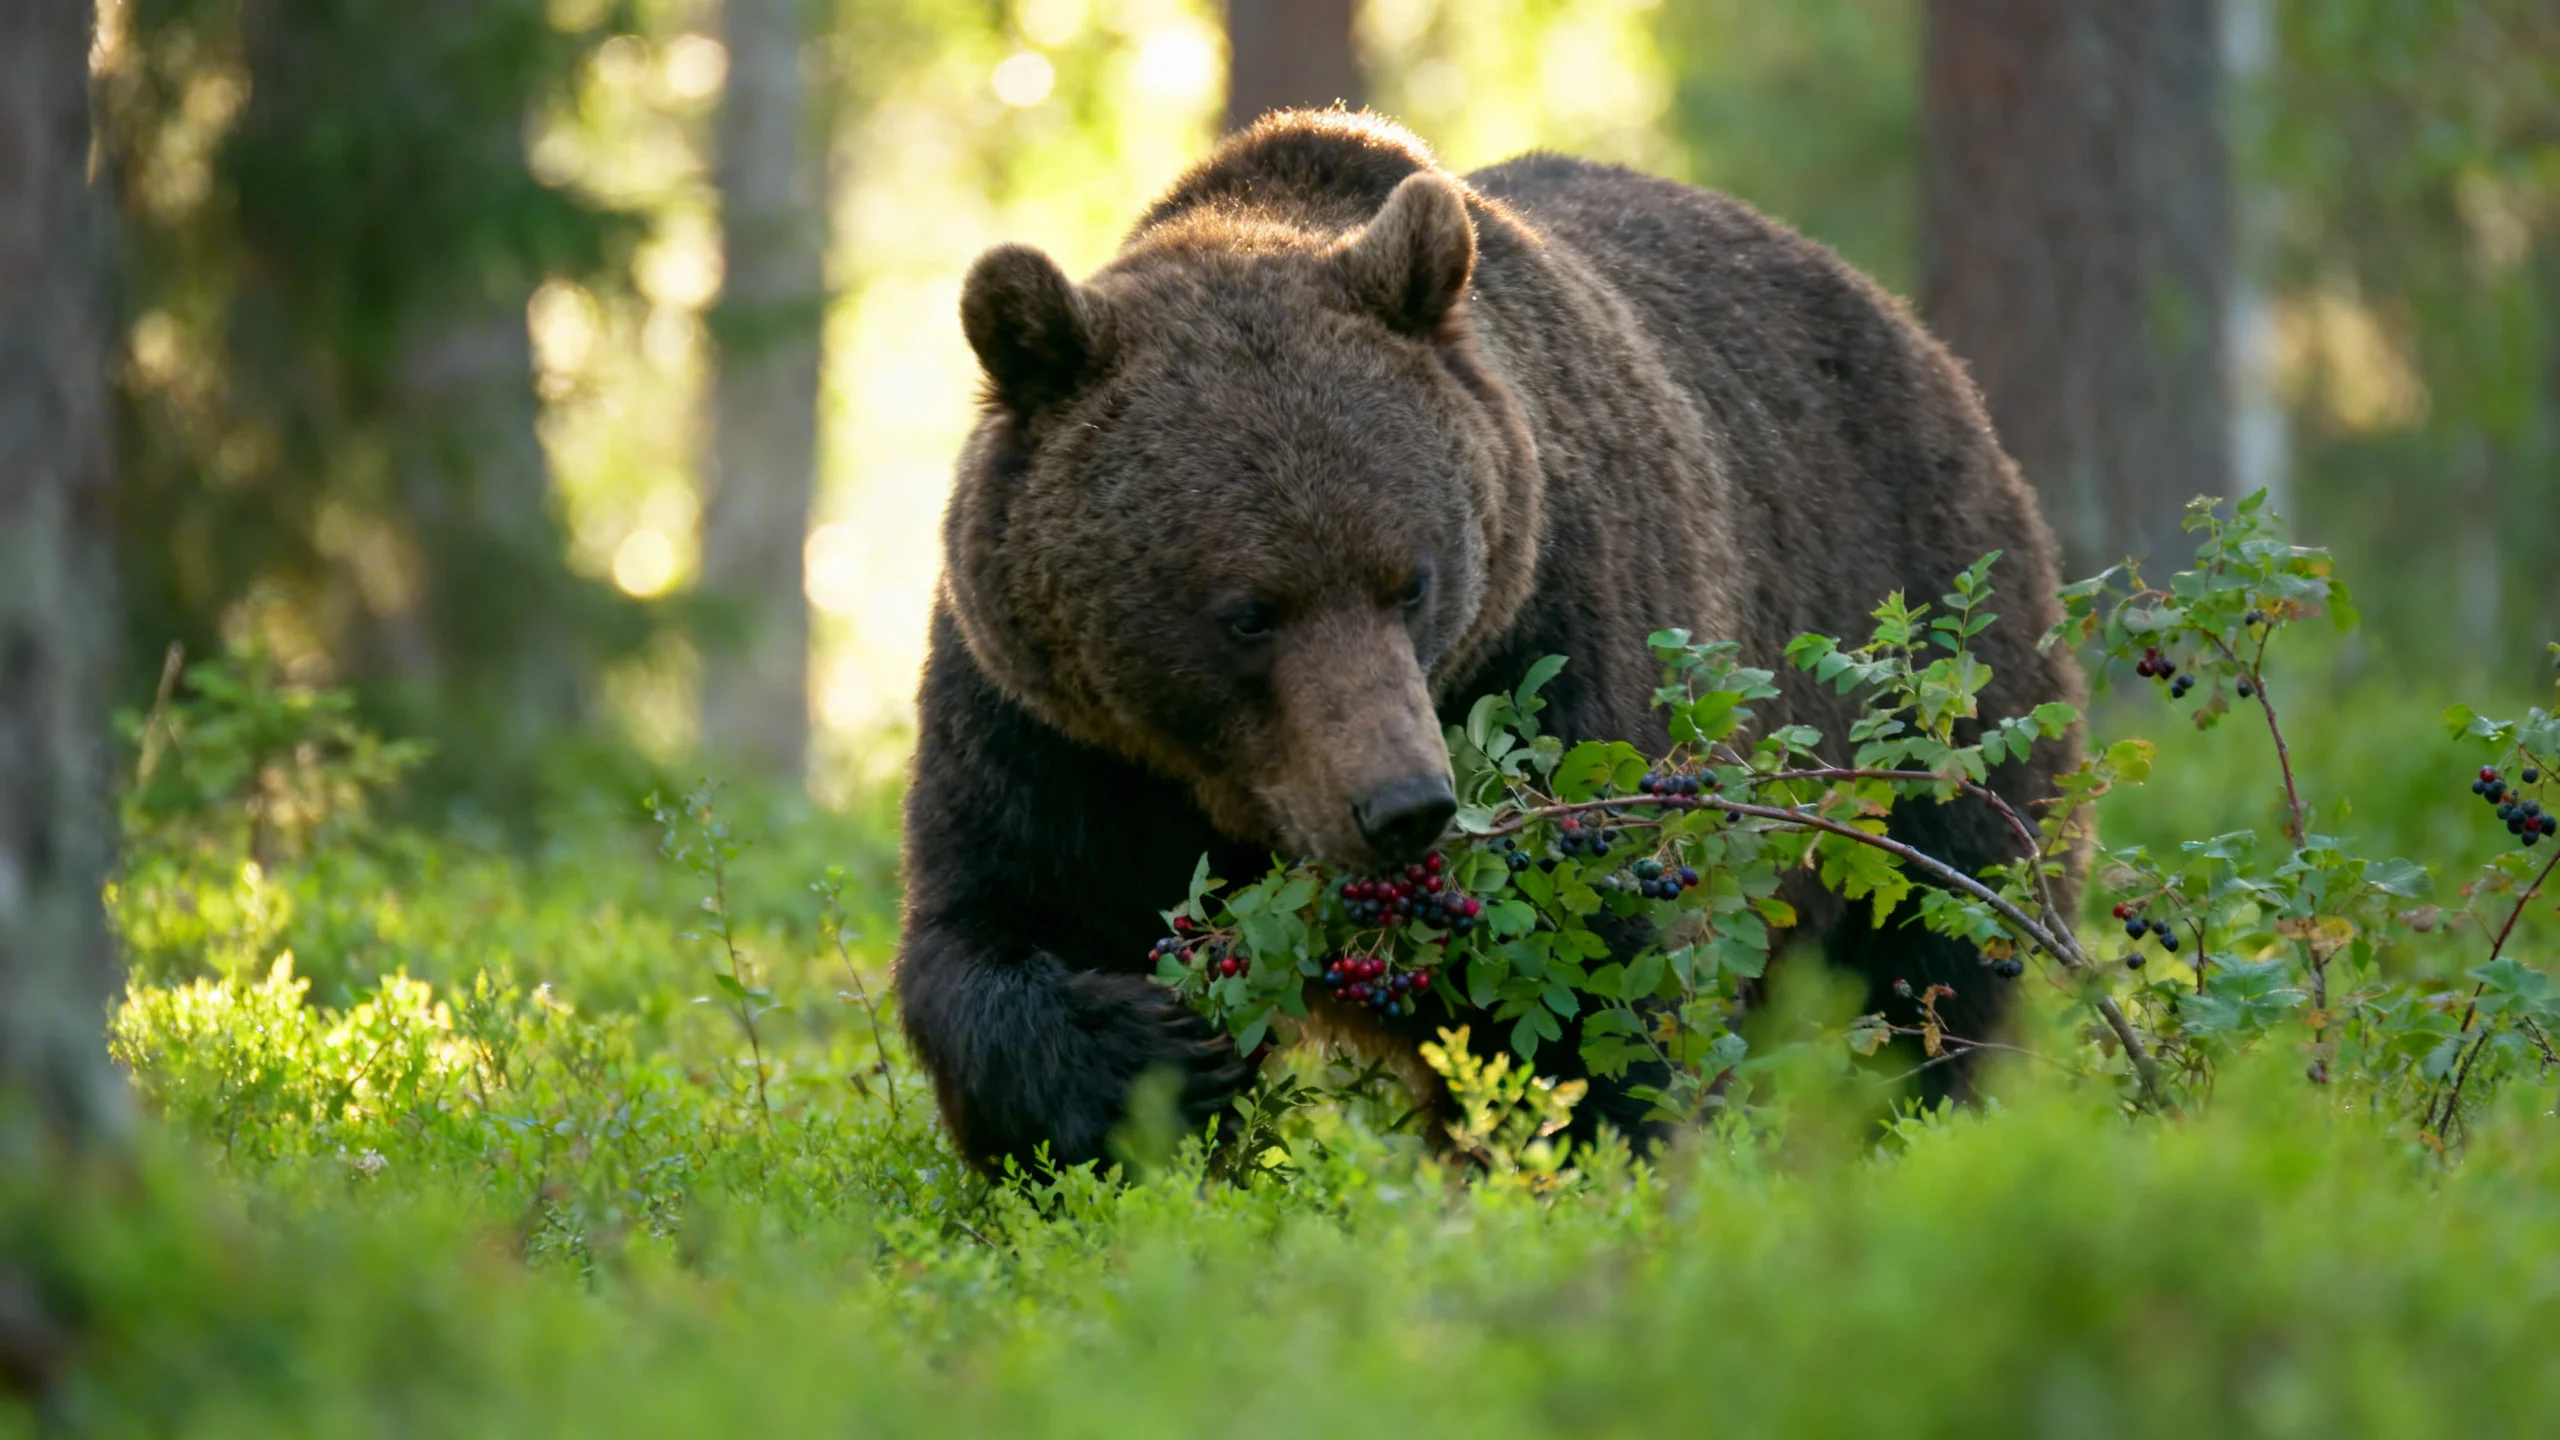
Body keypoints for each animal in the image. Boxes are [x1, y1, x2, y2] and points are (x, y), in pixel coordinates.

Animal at [896, 110, 2084, 1174]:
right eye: (1248, 611)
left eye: (1410, 582)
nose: (1404, 805)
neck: (1231, 801)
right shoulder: (1055, 736)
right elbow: (990, 925)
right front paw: (1146, 1057)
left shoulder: (1557, 646)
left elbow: (1593, 992)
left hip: (1918, 660)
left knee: (1935, 949)